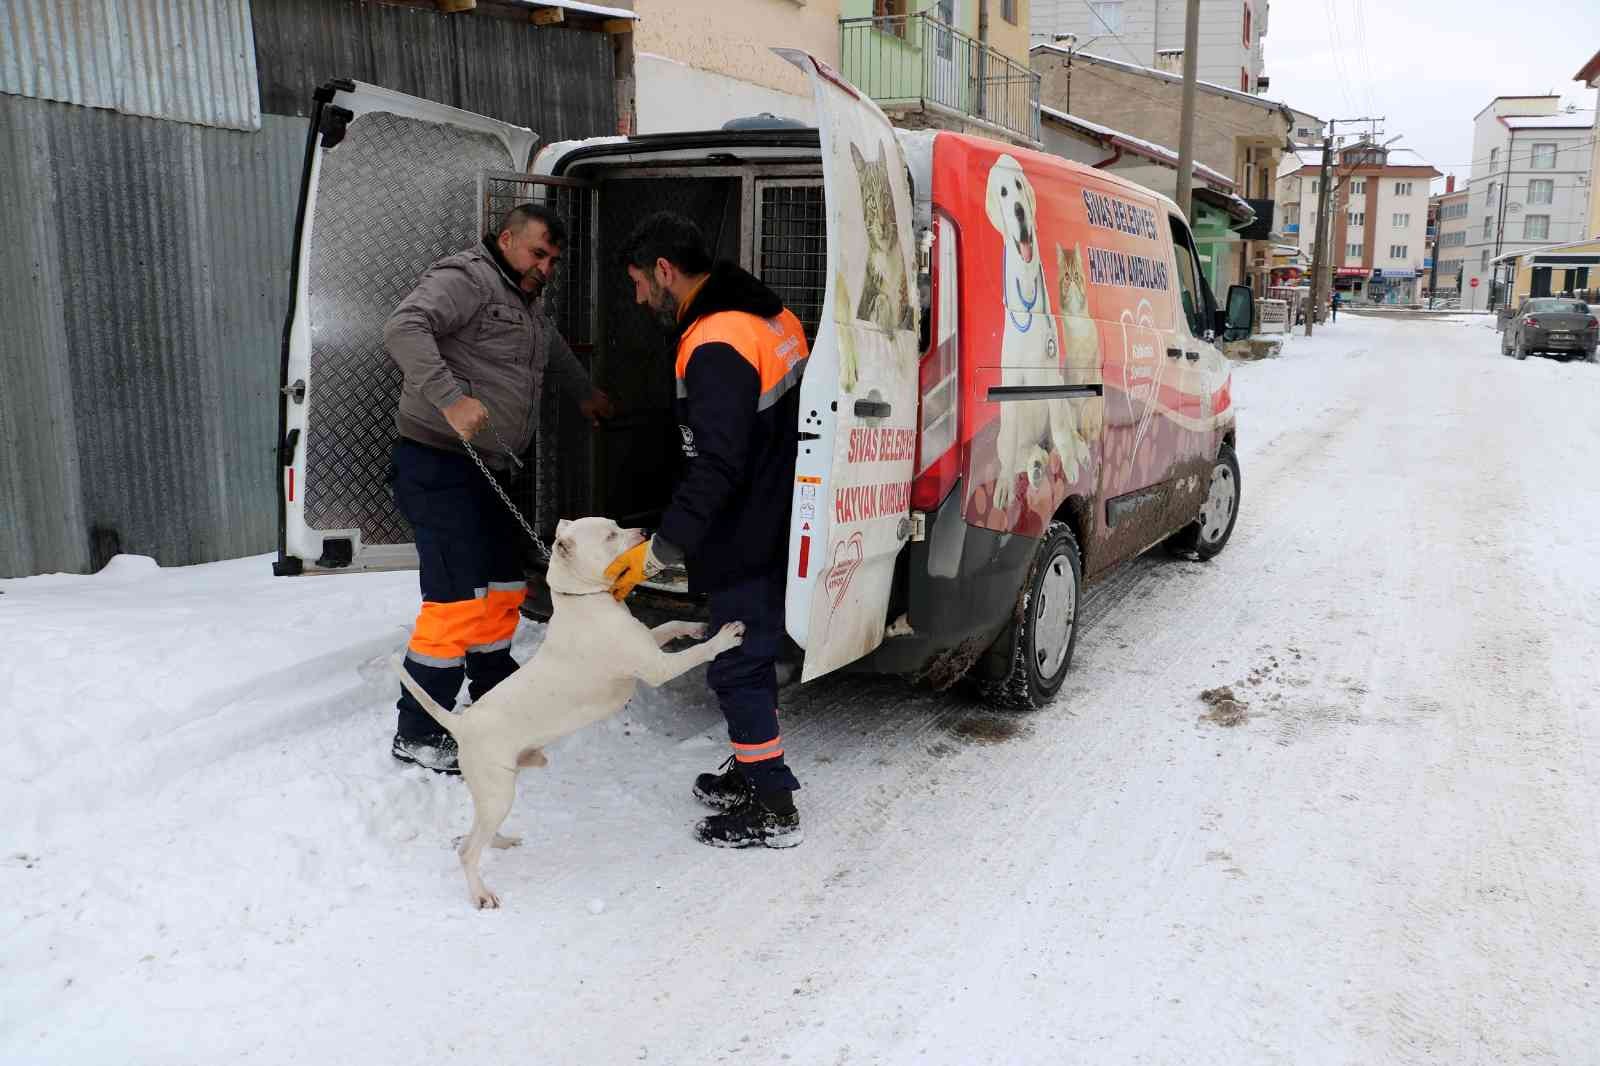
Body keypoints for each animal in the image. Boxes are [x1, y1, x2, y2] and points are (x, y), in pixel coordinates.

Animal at [390, 515, 745, 902]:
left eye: (617, 524)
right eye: (610, 535)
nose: (645, 532)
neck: (584, 599)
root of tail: (462, 723)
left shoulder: (649, 645)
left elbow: (670, 626)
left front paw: (697, 626)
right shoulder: (656, 668)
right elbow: (696, 653)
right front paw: (724, 637)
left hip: (492, 792)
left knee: (479, 832)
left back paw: (502, 840)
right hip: (498, 791)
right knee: (468, 850)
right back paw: (482, 894)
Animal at [979, 153, 1094, 512]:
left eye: (1018, 185)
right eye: (1002, 191)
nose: (1019, 210)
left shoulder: (1053, 379)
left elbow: (1063, 431)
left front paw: (1071, 463)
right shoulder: (1011, 385)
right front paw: (1004, 486)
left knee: (1064, 434)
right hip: (1007, 433)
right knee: (1019, 452)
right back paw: (1035, 464)